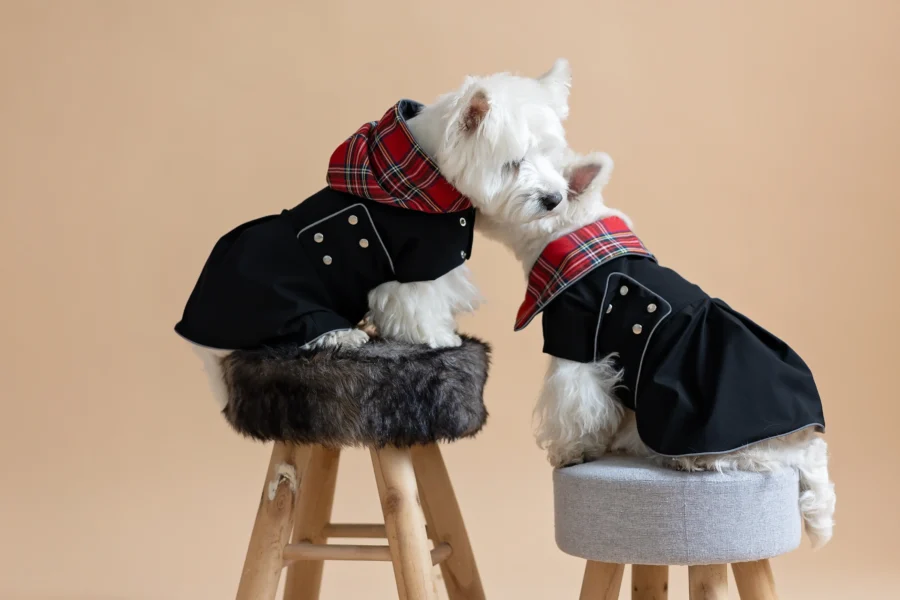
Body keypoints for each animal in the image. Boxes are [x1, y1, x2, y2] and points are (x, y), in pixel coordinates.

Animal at [478, 148, 836, 548]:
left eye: (517, 166)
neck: (570, 233)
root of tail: (797, 431)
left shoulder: (575, 344)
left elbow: (577, 408)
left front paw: (573, 451)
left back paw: (689, 460)